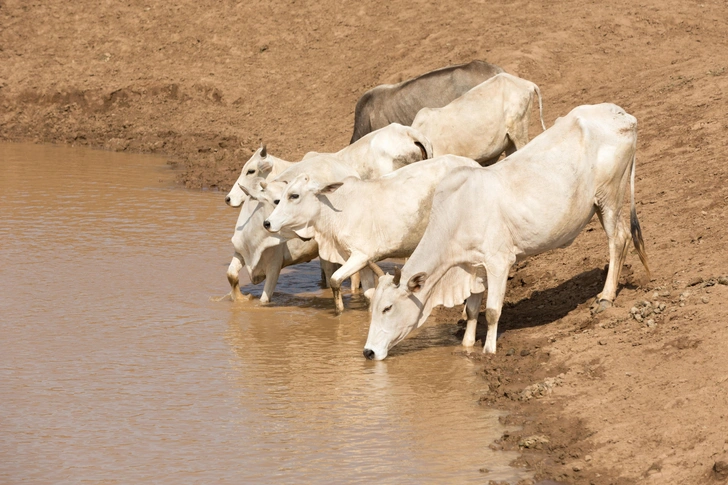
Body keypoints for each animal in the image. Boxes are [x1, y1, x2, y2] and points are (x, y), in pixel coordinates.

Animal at [264, 155, 480, 314]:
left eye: (294, 195)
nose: (267, 223)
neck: (337, 209)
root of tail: (474, 164)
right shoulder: (362, 259)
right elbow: (369, 293)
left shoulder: (360, 255)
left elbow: (334, 279)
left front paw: (339, 312)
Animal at [364, 103, 656, 360]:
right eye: (372, 308)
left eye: (387, 307)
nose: (368, 352)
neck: (457, 213)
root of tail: (622, 115)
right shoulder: (475, 266)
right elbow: (472, 310)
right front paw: (467, 347)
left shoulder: (499, 261)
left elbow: (492, 311)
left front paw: (489, 351)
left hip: (609, 197)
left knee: (618, 239)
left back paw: (606, 297)